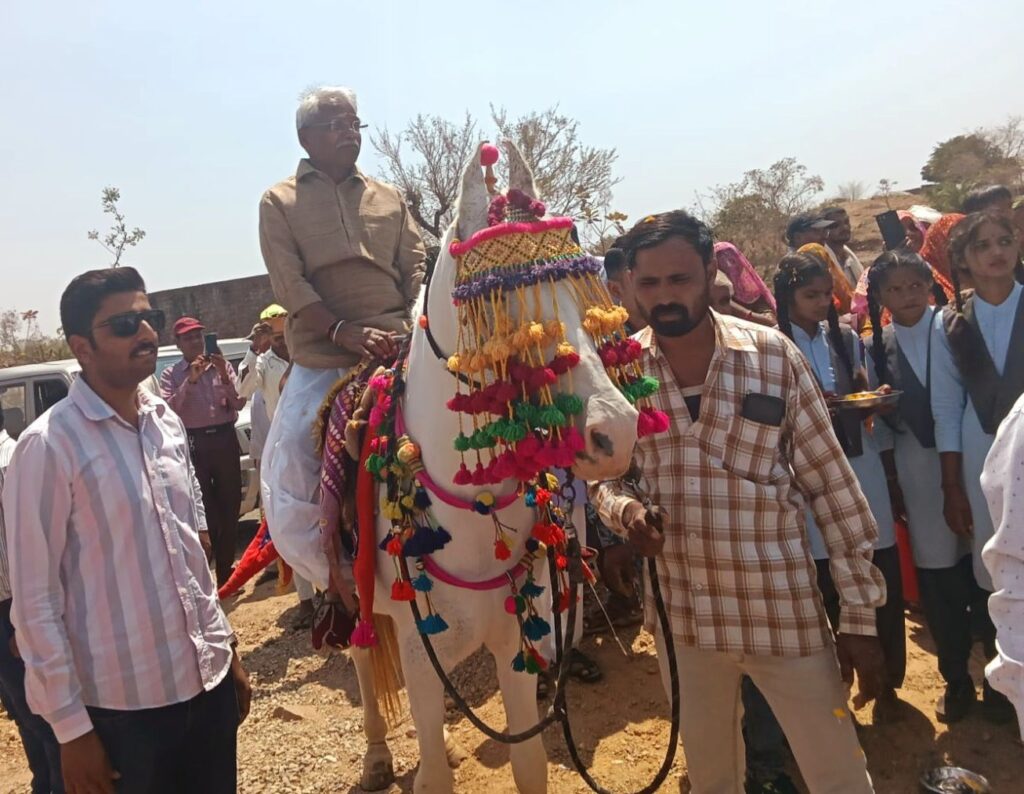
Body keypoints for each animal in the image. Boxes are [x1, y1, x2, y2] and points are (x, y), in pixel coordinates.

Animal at [348, 141, 642, 794]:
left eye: (583, 299)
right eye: (504, 307)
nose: (617, 432)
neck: (474, 520)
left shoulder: (519, 642)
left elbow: (529, 764)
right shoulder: (422, 659)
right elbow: (432, 771)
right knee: (359, 652)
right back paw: (377, 755)